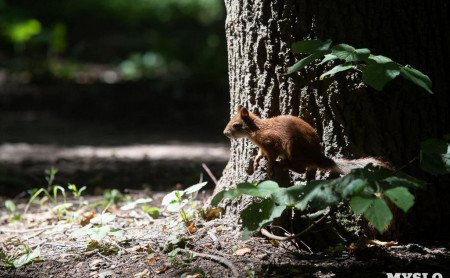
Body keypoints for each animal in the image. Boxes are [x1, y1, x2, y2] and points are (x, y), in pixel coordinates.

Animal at [223, 104, 388, 178]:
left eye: (236, 125)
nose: (225, 133)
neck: (257, 130)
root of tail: (316, 157)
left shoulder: (271, 143)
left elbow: (271, 158)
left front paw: (269, 170)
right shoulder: (263, 147)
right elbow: (261, 153)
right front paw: (257, 160)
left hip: (293, 147)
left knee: (301, 169)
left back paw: (286, 164)